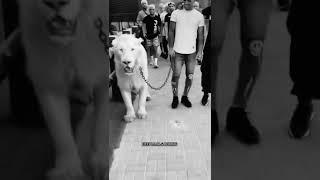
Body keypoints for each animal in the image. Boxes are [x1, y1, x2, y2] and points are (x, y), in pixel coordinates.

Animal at [17, 0, 109, 179]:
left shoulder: (102, 71)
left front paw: (101, 161)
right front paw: (69, 170)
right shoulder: (49, 77)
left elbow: (101, 121)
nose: (55, 2)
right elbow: (60, 130)